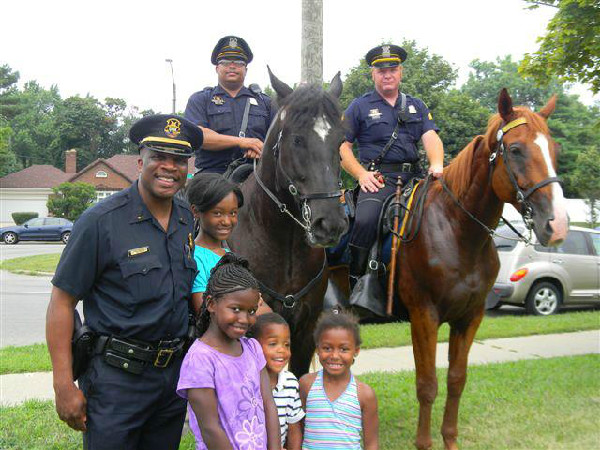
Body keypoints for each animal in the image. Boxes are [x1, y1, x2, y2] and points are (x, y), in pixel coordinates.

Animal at [398, 89, 568, 450]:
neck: (458, 231)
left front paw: (449, 439)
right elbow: (427, 384)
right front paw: (424, 442)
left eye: (555, 149)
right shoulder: (424, 315)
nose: (557, 224)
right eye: (515, 150)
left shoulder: (470, 317)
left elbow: (456, 380)